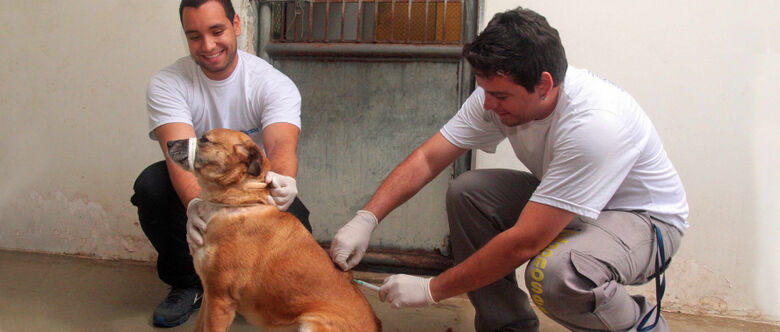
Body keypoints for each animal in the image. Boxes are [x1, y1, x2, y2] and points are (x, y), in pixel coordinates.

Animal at [168, 129, 380, 332]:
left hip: (312, 323)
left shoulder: (220, 299)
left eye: (205, 139)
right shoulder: (209, 294)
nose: (169, 142)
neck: (238, 202)